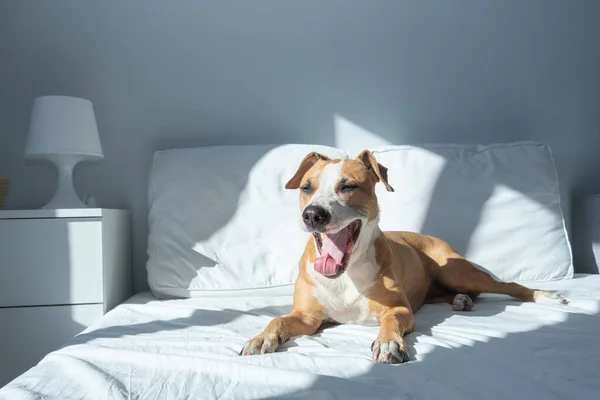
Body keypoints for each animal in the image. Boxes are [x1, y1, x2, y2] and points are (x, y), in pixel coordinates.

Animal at [240, 149, 568, 362]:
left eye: (348, 186)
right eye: (306, 187)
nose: (312, 215)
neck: (345, 275)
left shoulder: (398, 308)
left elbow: (391, 322)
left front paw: (387, 343)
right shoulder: (307, 317)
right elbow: (279, 320)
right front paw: (262, 336)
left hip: (458, 271)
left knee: (508, 286)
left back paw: (546, 296)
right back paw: (461, 301)